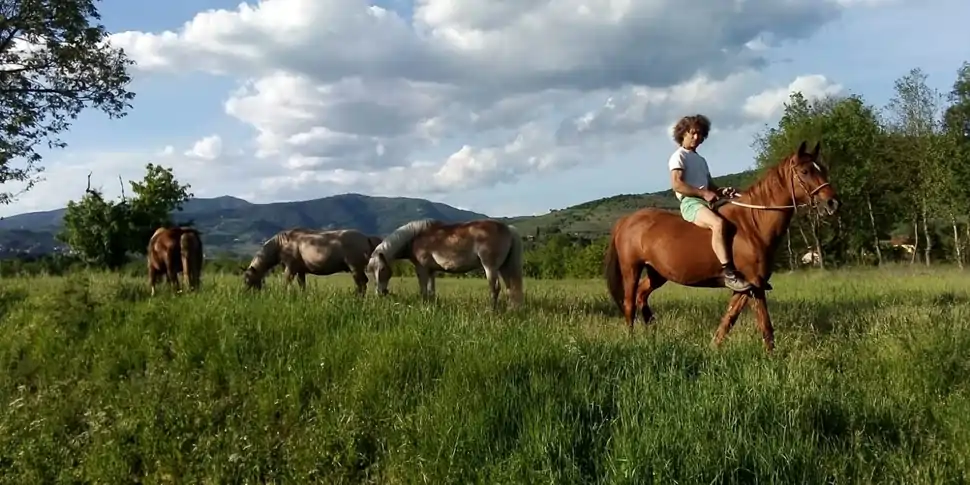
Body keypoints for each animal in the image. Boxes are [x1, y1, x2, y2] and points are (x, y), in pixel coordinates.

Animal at [240, 226, 380, 294]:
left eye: (247, 279)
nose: (244, 294)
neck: (281, 243)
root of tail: (366, 237)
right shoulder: (300, 271)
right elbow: (302, 286)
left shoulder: (290, 268)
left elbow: (286, 283)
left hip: (355, 268)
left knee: (362, 284)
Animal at [366, 218, 524, 308]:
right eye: (371, 272)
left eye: (382, 269)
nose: (379, 293)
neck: (415, 238)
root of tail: (509, 229)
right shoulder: (432, 271)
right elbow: (431, 291)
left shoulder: (422, 269)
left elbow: (423, 290)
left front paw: (423, 306)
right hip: (504, 267)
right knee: (510, 288)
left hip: (490, 267)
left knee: (495, 288)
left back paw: (491, 310)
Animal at [604, 142, 840, 350]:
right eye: (805, 171)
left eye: (823, 169)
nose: (833, 203)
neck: (752, 224)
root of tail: (626, 220)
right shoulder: (755, 284)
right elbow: (764, 325)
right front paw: (772, 356)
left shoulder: (747, 287)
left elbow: (729, 318)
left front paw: (713, 348)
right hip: (632, 269)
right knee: (629, 302)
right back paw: (632, 340)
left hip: (657, 273)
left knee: (642, 295)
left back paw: (652, 328)